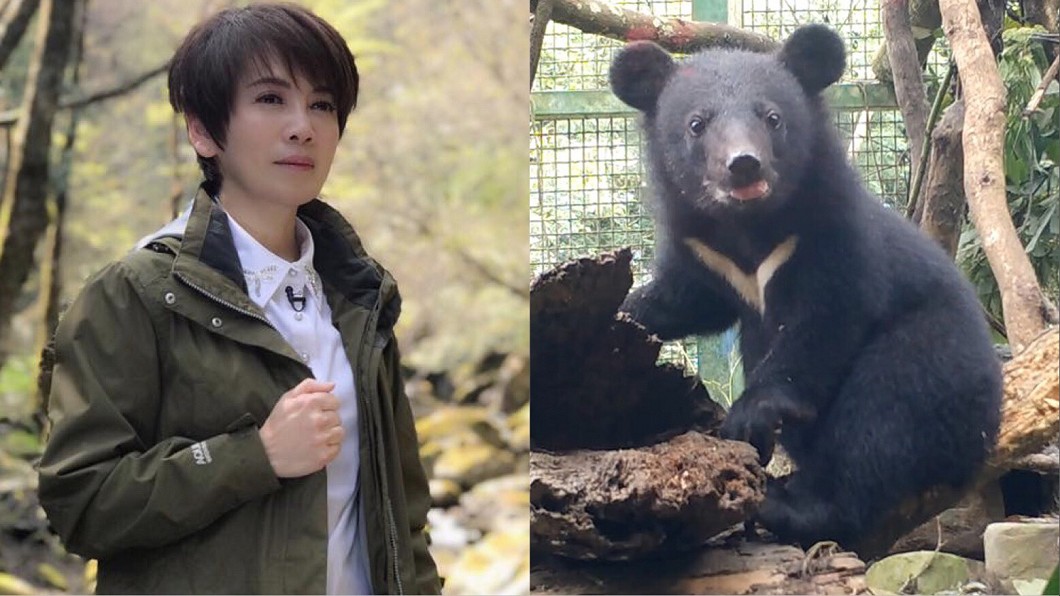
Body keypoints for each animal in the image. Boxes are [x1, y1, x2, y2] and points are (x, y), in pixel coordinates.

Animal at [609, 24, 1003, 549]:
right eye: (697, 124)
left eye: (772, 117)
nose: (744, 165)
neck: (749, 228)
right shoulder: (703, 251)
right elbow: (687, 299)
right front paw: (625, 312)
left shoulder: (829, 234)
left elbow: (824, 320)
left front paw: (750, 414)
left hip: (941, 358)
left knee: (884, 415)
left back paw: (792, 504)